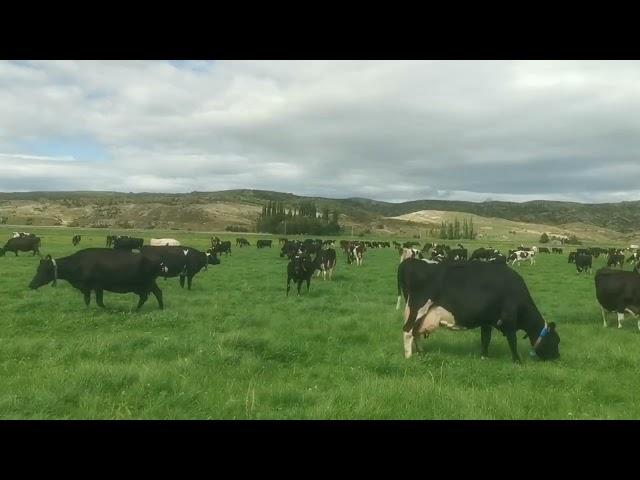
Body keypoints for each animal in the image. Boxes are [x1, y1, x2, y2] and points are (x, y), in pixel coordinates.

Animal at [27, 248, 168, 312]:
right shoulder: (86, 288)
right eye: (38, 269)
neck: (78, 263)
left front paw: (109, 310)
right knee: (155, 293)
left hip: (146, 283)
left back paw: (138, 310)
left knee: (151, 295)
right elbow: (87, 300)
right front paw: (87, 309)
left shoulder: (98, 286)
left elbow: (100, 302)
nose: (31, 284)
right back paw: (158, 308)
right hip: (147, 284)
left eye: (43, 270)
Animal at [400, 260, 560, 362]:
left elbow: (485, 339)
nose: (557, 357)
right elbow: (512, 341)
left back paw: (421, 353)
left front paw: (484, 357)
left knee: (416, 332)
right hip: (418, 307)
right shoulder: (509, 320)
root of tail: (410, 262)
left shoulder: (487, 321)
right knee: (408, 330)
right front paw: (517, 361)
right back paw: (408, 357)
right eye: (556, 340)